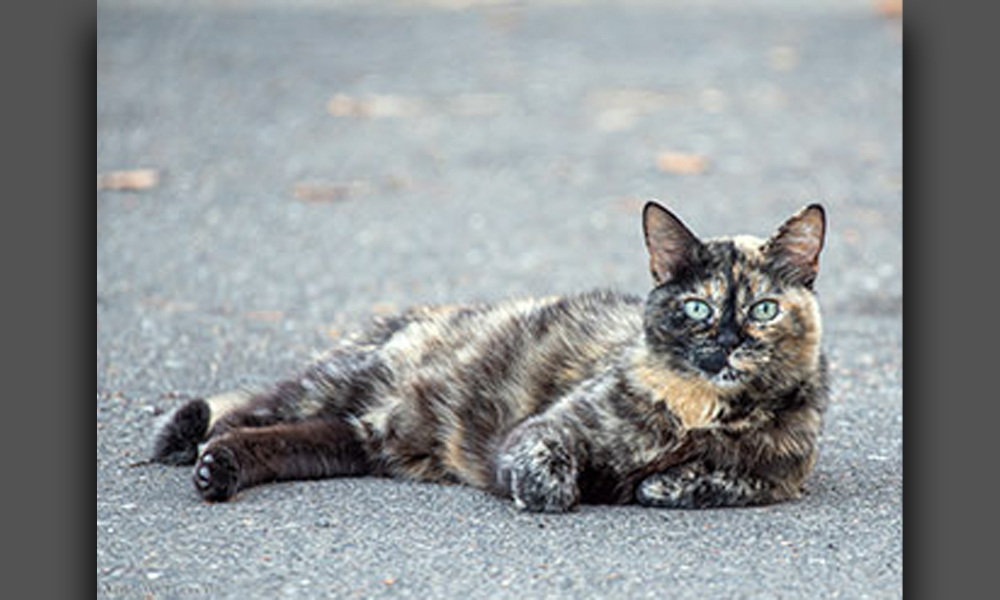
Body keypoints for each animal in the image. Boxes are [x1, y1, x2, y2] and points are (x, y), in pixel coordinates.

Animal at [152, 202, 828, 510]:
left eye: (763, 309)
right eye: (696, 308)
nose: (729, 341)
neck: (701, 413)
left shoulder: (781, 478)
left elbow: (719, 480)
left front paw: (667, 481)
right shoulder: (546, 428)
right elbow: (546, 465)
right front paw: (553, 488)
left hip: (344, 440)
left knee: (268, 438)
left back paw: (219, 470)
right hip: (335, 384)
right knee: (243, 408)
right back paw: (185, 441)